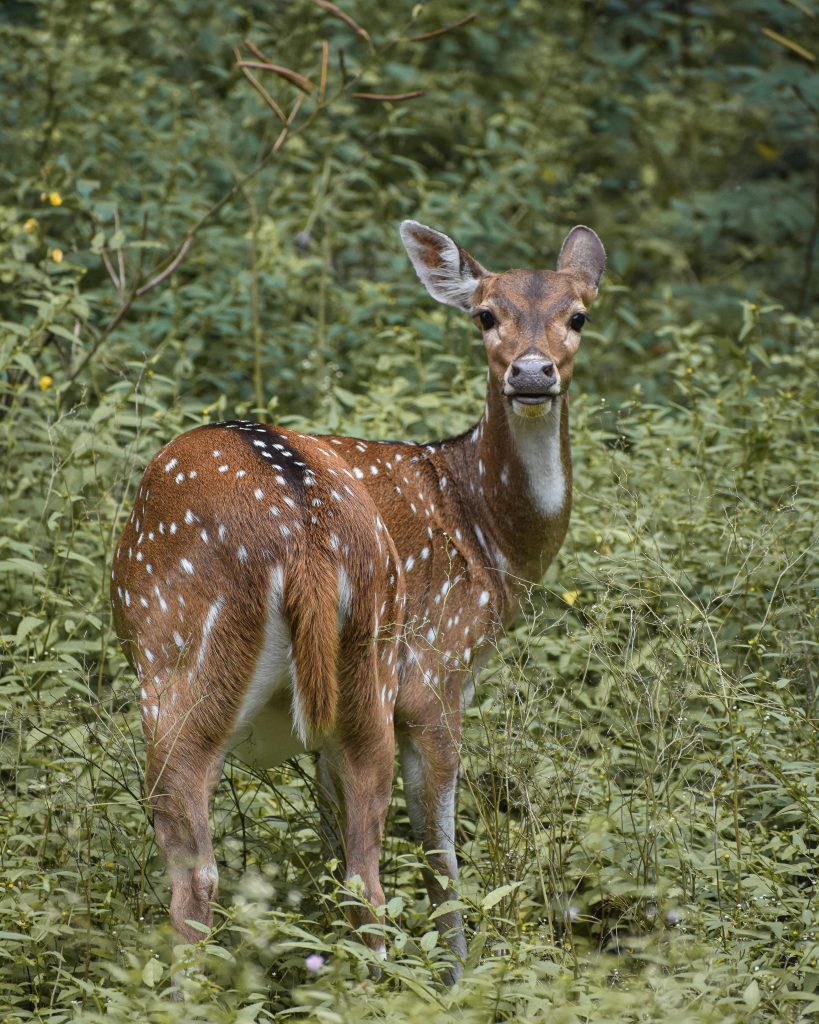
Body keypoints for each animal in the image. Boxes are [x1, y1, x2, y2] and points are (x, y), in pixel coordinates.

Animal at [112, 222, 606, 983]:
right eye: (484, 315)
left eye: (577, 315)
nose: (530, 374)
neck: (489, 538)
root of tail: (304, 531)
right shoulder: (439, 669)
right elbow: (434, 853)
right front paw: (458, 977)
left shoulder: (406, 684)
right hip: (285, 668)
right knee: (301, 873)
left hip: (251, 670)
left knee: (267, 874)